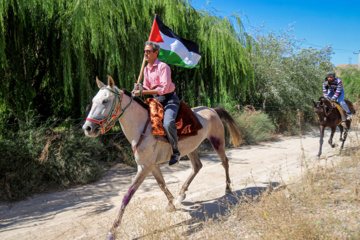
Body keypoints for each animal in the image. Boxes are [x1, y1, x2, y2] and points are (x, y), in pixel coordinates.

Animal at [82, 76, 240, 239]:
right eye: (93, 101)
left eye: (105, 101)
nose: (87, 128)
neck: (142, 128)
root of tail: (212, 110)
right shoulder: (152, 165)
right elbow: (162, 184)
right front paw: (171, 204)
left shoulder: (144, 167)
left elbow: (127, 196)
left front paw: (112, 231)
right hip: (191, 148)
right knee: (197, 166)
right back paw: (182, 193)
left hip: (217, 141)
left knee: (225, 162)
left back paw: (228, 188)